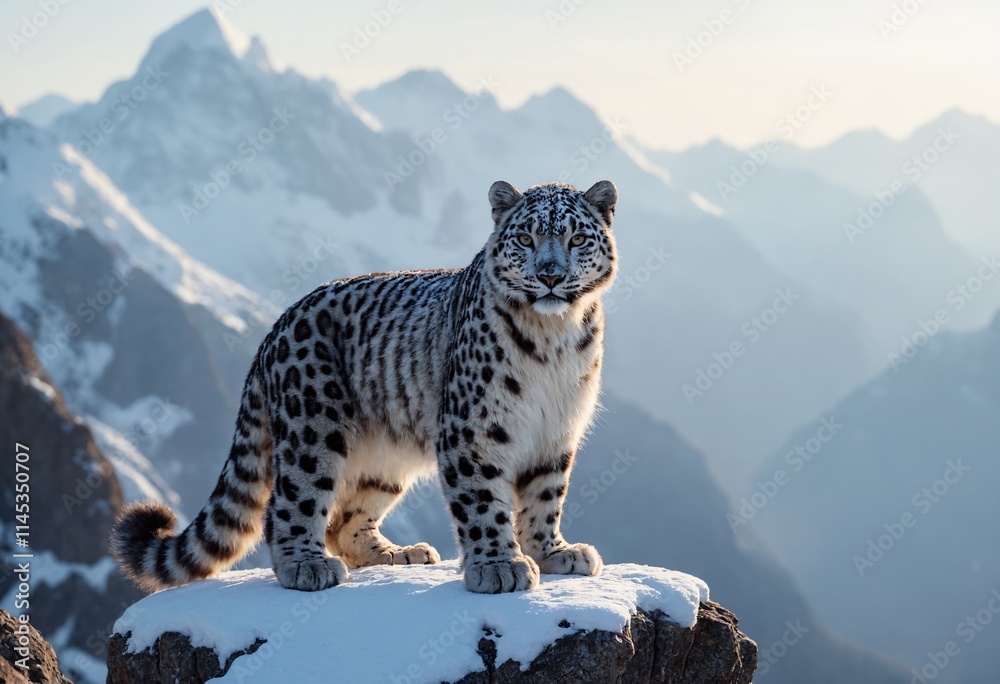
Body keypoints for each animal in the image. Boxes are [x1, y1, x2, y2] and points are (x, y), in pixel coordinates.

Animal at [111, 179, 619, 594]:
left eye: (576, 238)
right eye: (525, 238)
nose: (550, 274)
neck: (554, 340)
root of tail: (273, 331)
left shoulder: (556, 431)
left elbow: (545, 496)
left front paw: (551, 552)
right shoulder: (473, 431)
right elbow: (481, 502)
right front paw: (498, 566)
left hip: (385, 455)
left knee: (346, 518)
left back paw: (399, 553)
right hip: (312, 430)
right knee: (290, 502)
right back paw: (306, 565)